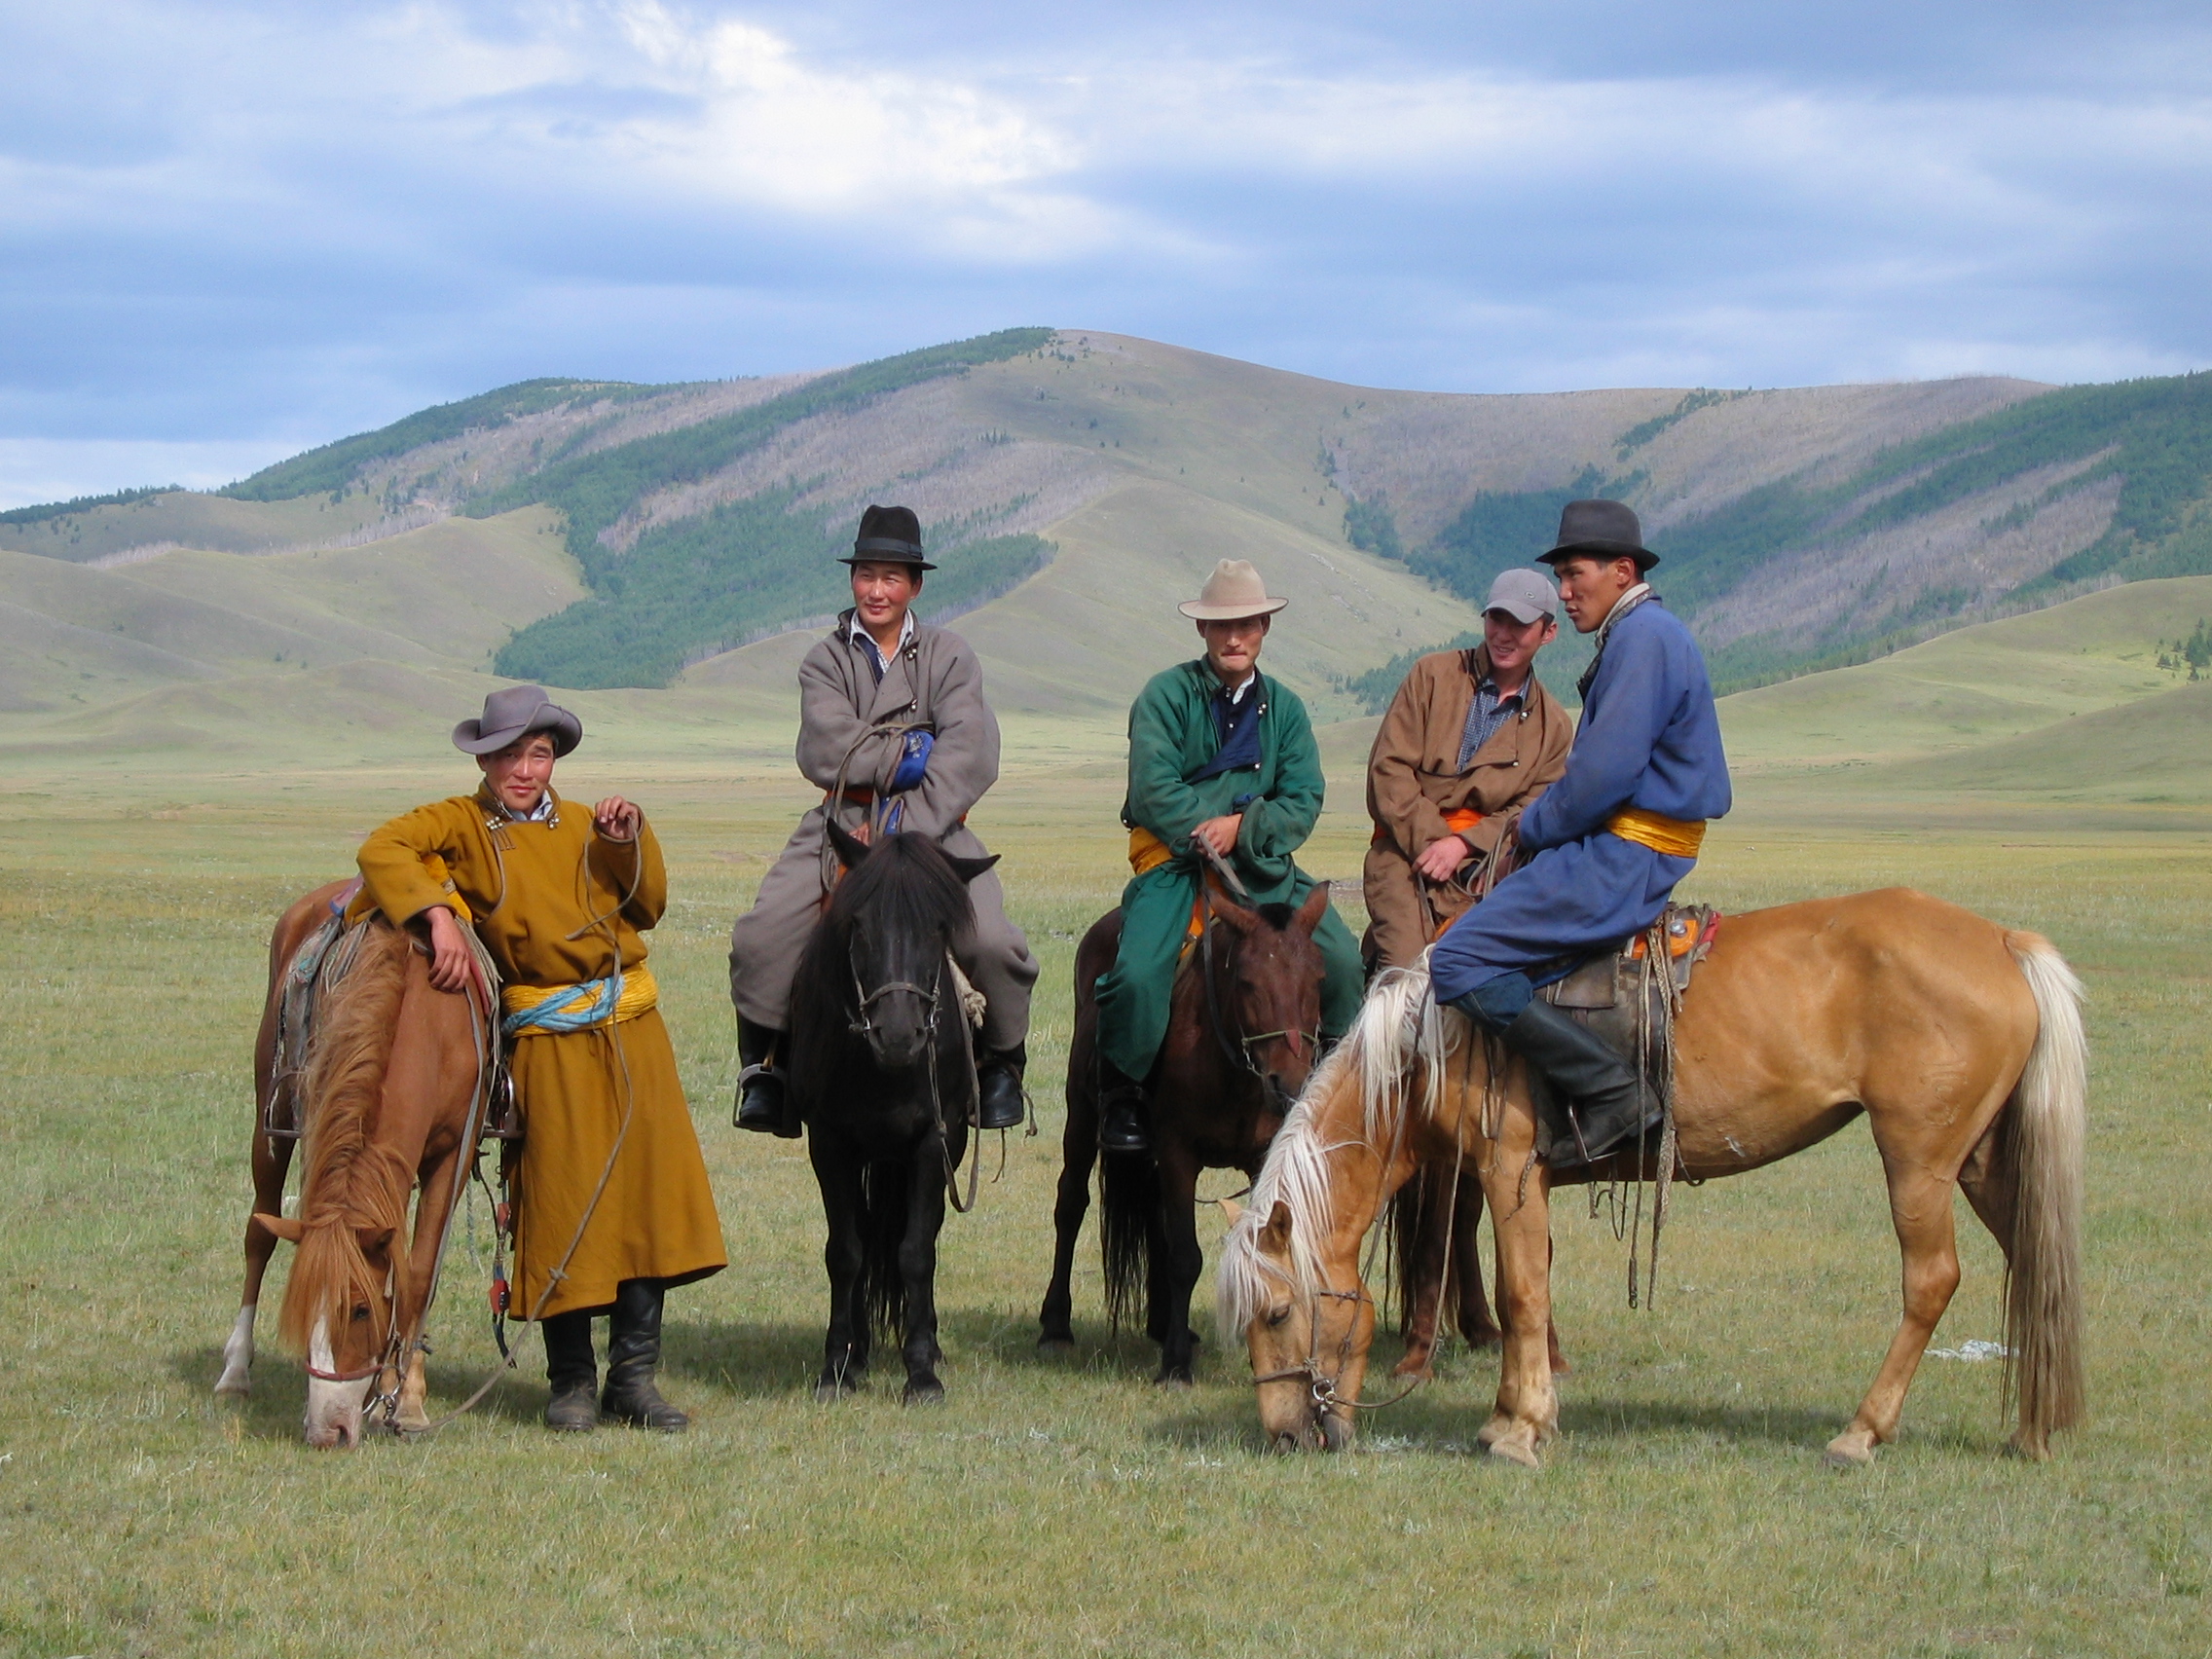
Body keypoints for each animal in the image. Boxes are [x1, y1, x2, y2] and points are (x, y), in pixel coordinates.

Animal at [213, 889, 491, 1451]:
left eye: (361, 1310)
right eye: (302, 1310)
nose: (328, 1430)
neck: (428, 1025)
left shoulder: (452, 1156)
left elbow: (417, 1274)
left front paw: (406, 1400)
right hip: (270, 1118)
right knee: (259, 1233)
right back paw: (235, 1370)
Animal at [795, 827, 1004, 1406]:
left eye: (937, 929)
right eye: (859, 926)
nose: (897, 1034)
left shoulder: (934, 1141)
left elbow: (915, 1252)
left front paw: (922, 1372)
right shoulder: (831, 1142)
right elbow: (846, 1251)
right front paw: (837, 1366)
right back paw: (861, 1350)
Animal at [1221, 889, 2079, 1477]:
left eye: (1277, 1313)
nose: (1286, 1435)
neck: (1425, 1048)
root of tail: (2004, 941)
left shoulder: (1510, 1170)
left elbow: (1522, 1295)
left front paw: (1523, 1430)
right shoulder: (1514, 1185)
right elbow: (1523, 1290)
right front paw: (1506, 1417)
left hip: (1918, 1162)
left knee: (1932, 1279)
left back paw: (1862, 1432)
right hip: (1982, 1161)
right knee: (2035, 1265)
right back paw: (2034, 1429)